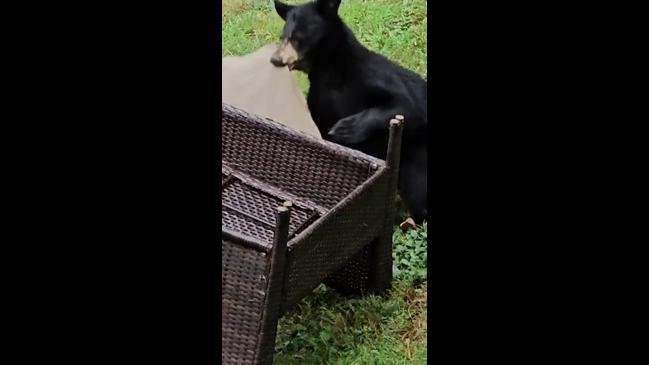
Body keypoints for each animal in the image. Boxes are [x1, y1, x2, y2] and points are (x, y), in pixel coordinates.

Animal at [268, 0, 426, 222]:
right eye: (282, 37)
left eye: (298, 37)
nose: (275, 59)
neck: (327, 71)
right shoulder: (319, 100)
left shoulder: (371, 76)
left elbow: (406, 105)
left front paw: (346, 128)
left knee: (417, 187)